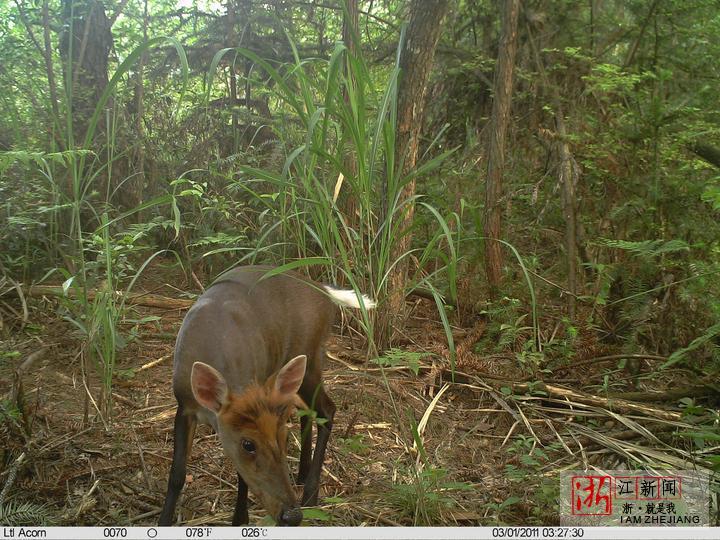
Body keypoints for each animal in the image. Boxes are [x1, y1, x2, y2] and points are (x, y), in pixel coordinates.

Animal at [158, 266, 376, 528]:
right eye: (248, 444)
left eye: (284, 438)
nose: (292, 515)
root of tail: (322, 289)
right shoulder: (184, 405)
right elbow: (177, 474)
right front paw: (163, 521)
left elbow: (241, 476)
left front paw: (240, 519)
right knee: (307, 410)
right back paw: (302, 475)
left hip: (311, 354)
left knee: (327, 409)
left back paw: (310, 494)